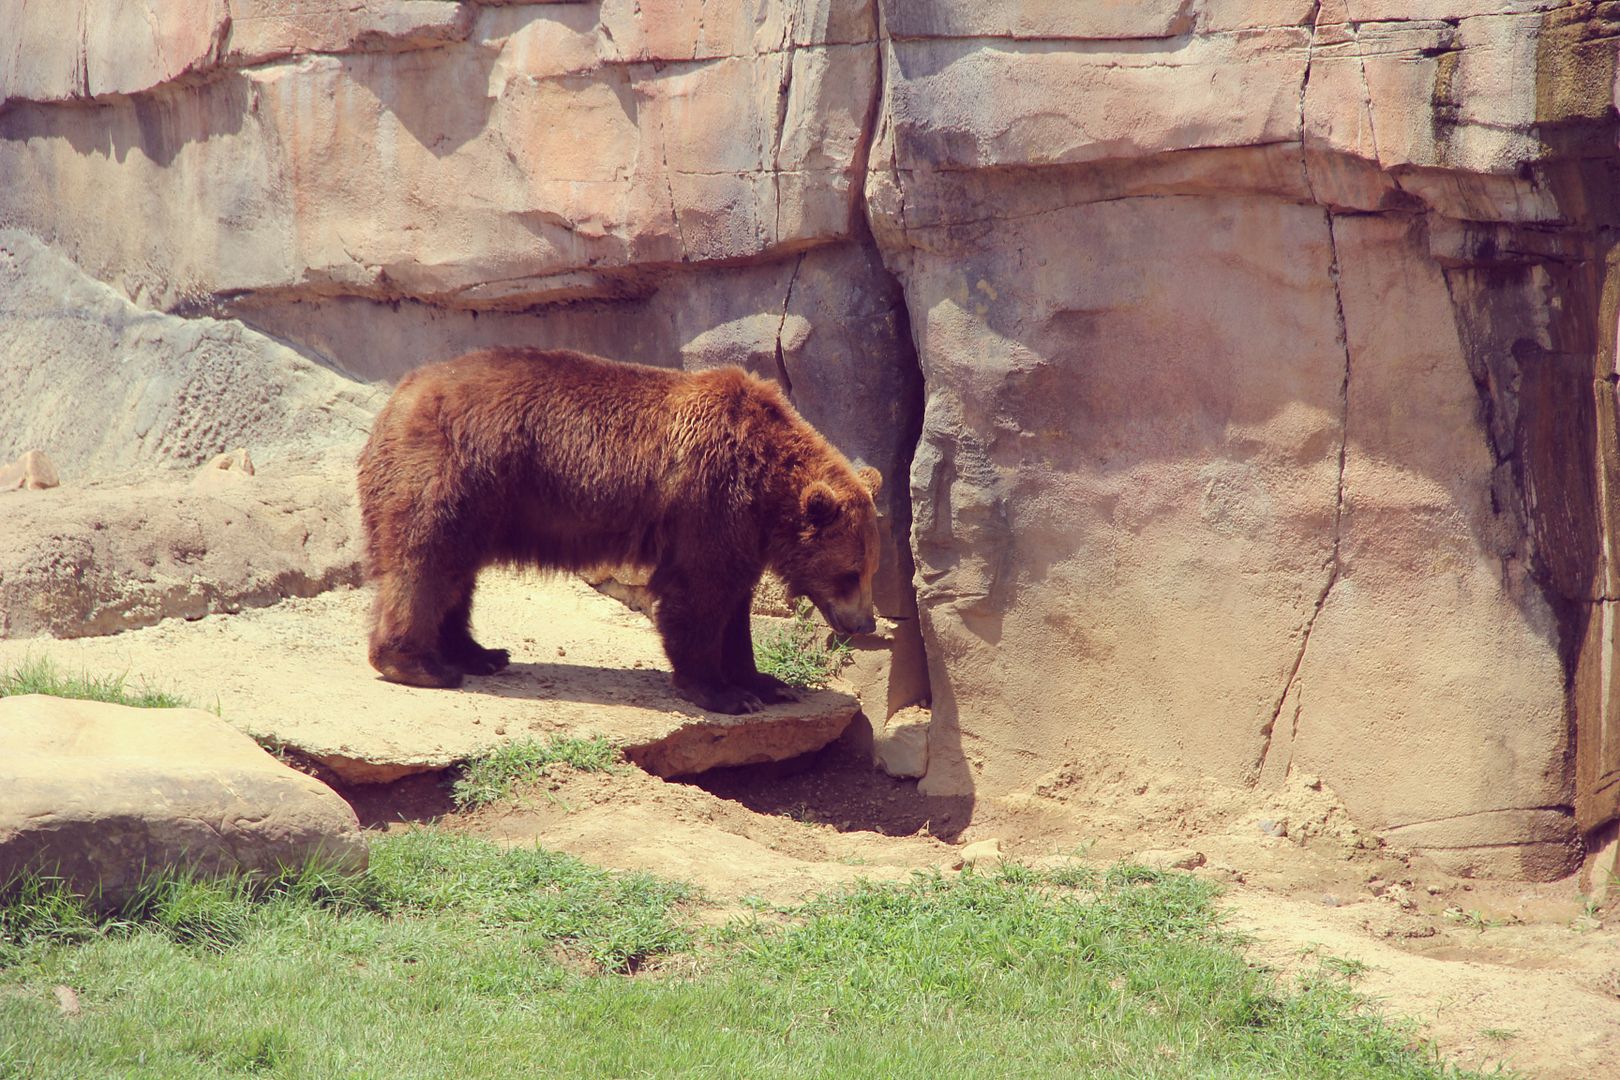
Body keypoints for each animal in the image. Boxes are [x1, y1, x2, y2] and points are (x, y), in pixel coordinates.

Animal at [358, 348, 887, 718]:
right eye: (850, 572)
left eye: (871, 571)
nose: (865, 624)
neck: (767, 486)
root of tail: (398, 396)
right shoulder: (709, 498)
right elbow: (697, 593)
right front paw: (721, 692)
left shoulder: (741, 528)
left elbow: (735, 605)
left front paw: (767, 684)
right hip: (449, 471)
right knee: (424, 561)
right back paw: (420, 664)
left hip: (479, 502)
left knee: (456, 572)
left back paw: (480, 654)